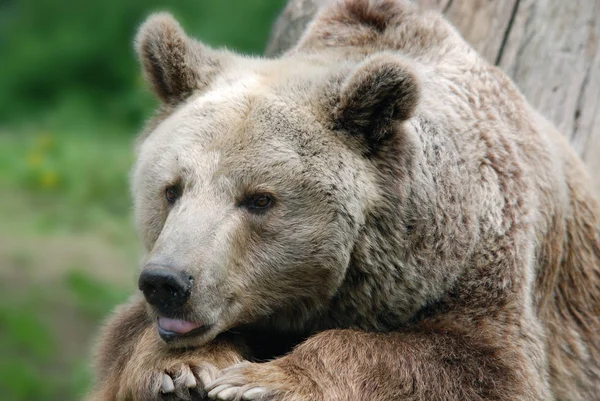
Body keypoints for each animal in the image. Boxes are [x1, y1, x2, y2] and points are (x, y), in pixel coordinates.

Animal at [86, 0, 600, 400]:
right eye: (172, 189)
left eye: (259, 200)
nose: (167, 282)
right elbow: (126, 338)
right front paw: (183, 370)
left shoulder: (479, 261)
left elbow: (482, 366)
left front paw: (261, 380)